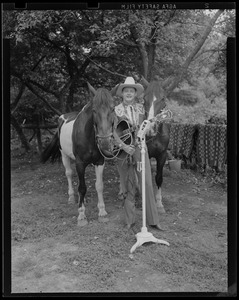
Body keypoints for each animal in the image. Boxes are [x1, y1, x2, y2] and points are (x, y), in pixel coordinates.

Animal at [40, 84, 116, 225]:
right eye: (94, 110)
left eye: (113, 108)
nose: (104, 142)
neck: (88, 136)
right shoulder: (80, 163)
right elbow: (82, 188)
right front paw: (81, 215)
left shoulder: (99, 162)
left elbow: (99, 186)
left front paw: (102, 212)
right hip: (64, 155)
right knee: (69, 174)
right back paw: (71, 198)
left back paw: (83, 199)